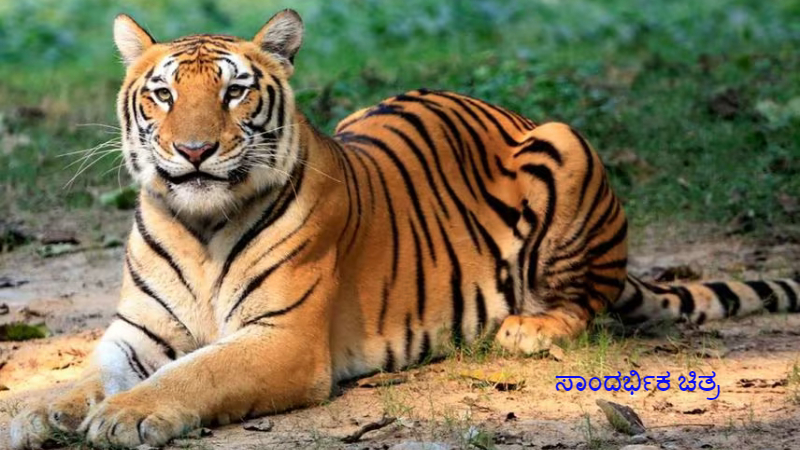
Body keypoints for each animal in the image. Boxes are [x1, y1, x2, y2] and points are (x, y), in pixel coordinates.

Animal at [10, 8, 800, 449]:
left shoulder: (282, 339)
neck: (197, 225)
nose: (196, 150)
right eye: (163, 94)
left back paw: (529, 328)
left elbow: (196, 371)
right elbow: (81, 375)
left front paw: (127, 416)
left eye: (234, 91)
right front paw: (29, 411)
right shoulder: (137, 334)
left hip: (565, 142)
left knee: (589, 302)